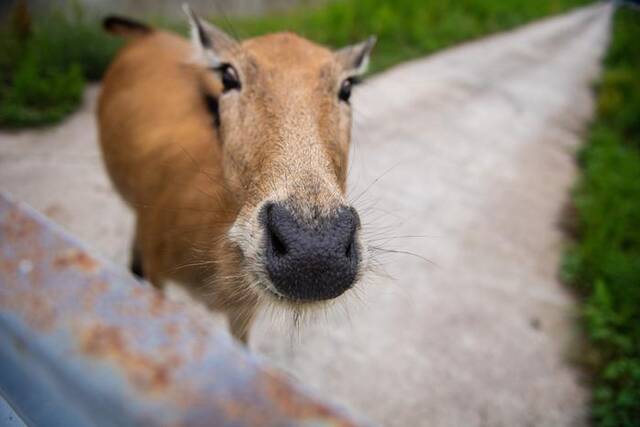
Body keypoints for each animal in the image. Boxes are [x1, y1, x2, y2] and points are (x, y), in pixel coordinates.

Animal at [96, 4, 376, 344]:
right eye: (229, 75)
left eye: (347, 86)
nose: (314, 251)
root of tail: (148, 32)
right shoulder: (156, 270)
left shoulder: (243, 311)